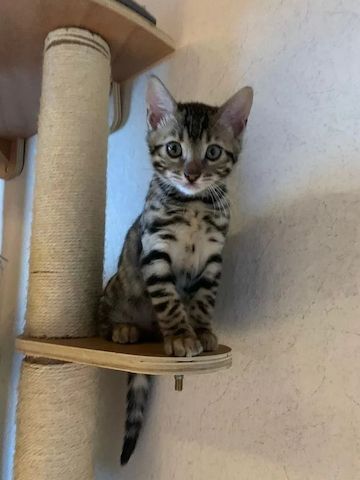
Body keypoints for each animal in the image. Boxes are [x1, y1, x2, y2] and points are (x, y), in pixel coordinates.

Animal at [96, 76, 253, 464]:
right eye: (173, 148)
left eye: (213, 152)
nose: (191, 174)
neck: (194, 205)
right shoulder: (155, 249)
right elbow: (168, 300)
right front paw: (182, 336)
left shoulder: (213, 258)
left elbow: (203, 300)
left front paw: (201, 331)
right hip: (115, 290)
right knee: (102, 319)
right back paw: (123, 330)